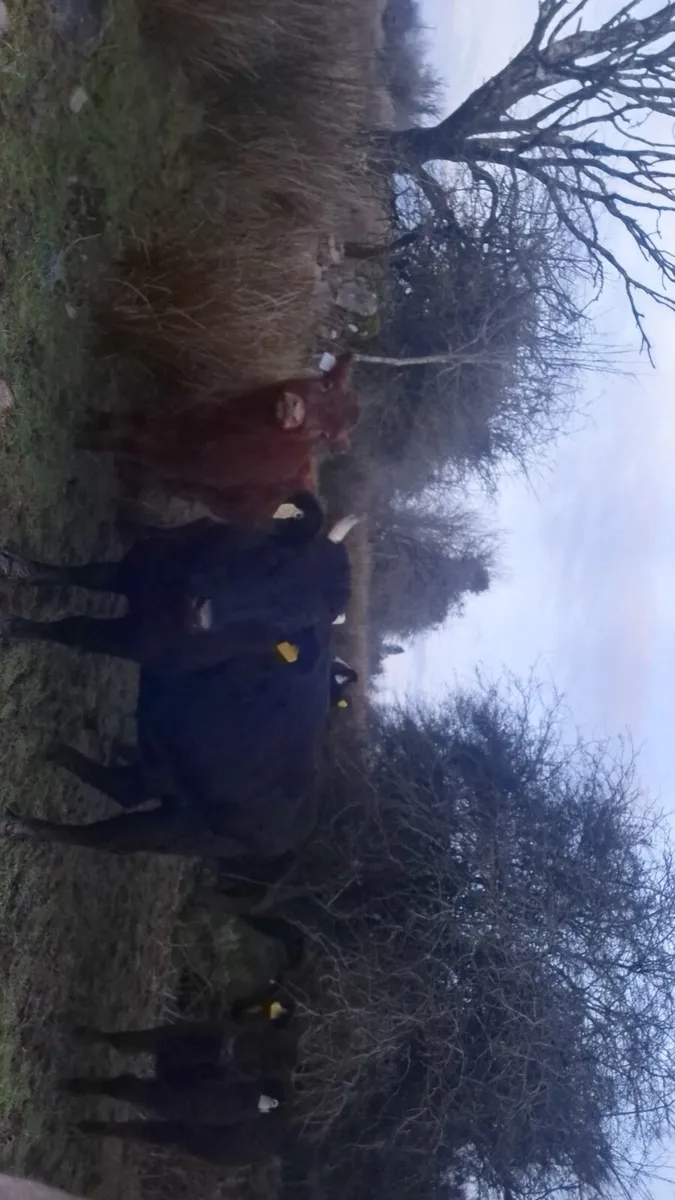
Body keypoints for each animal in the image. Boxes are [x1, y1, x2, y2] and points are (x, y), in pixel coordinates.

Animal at [0, 493, 357, 673]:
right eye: (275, 562)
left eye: (287, 623)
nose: (202, 615)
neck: (168, 595)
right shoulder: (134, 568)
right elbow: (78, 574)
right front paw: (17, 567)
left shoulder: (131, 640)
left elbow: (71, 627)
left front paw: (15, 626)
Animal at [81, 353, 358, 523]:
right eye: (326, 385)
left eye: (324, 435)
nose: (293, 409)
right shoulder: (176, 420)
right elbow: (132, 420)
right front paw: (92, 416)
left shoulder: (182, 461)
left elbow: (129, 443)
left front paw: (86, 441)